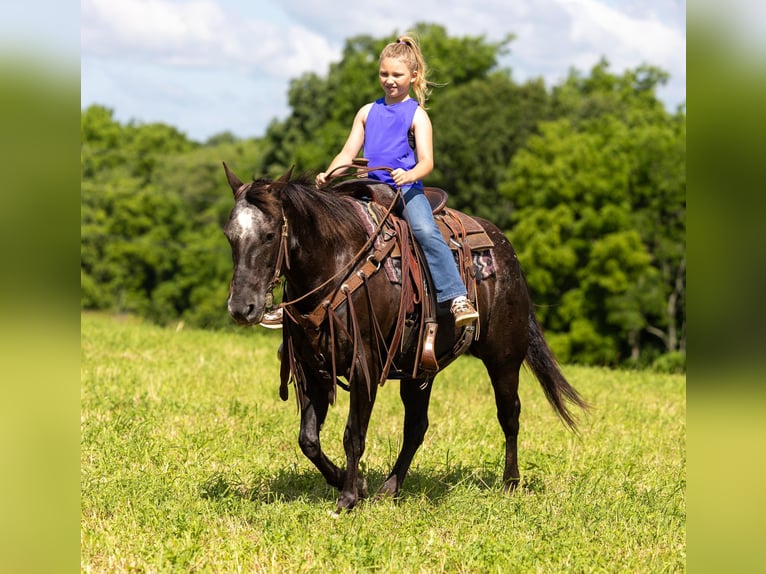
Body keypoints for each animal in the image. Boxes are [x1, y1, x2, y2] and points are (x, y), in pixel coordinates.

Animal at [222, 163, 588, 513]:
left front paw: (348, 498)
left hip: (504, 357)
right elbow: (308, 440)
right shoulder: (312, 366)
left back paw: (510, 483)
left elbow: (353, 435)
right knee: (416, 426)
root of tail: (504, 248)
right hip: (420, 369)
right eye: (230, 236)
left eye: (270, 235)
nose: (242, 307)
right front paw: (353, 483)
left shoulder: (364, 366)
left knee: (509, 413)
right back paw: (389, 488)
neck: (337, 262)